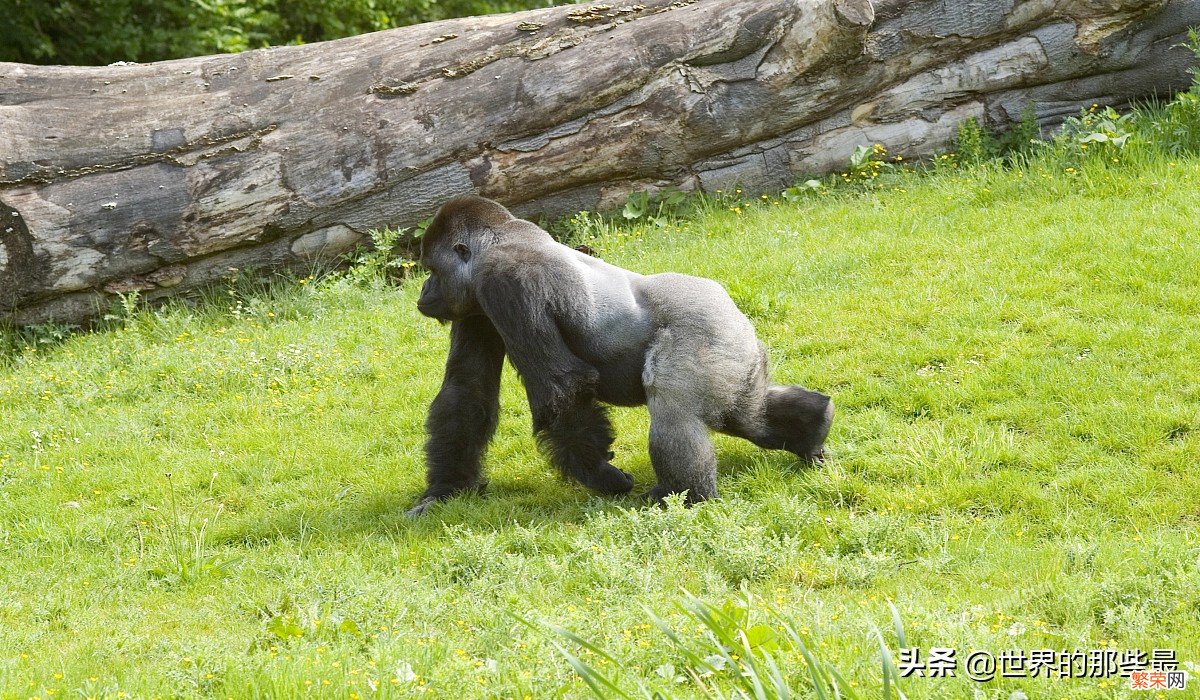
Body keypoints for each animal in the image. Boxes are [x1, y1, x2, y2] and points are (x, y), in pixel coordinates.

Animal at [408, 195, 830, 513]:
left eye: (432, 269)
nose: (424, 292)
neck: (499, 241)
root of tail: (735, 312)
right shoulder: (476, 307)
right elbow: (467, 391)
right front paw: (446, 490)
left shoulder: (504, 280)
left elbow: (564, 386)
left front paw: (601, 476)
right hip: (739, 353)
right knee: (747, 415)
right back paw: (813, 426)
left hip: (709, 335)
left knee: (675, 406)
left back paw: (684, 495)